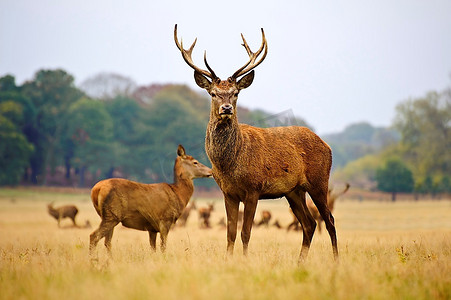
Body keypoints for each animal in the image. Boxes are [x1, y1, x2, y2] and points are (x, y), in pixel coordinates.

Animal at [177, 24, 340, 262]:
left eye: (235, 93)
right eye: (214, 93)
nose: (227, 108)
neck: (229, 164)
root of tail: (327, 146)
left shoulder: (253, 189)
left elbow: (245, 232)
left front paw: (245, 261)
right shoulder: (228, 192)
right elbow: (230, 233)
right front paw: (229, 260)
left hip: (319, 181)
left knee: (329, 220)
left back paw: (336, 260)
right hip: (294, 191)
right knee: (309, 223)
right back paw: (299, 262)